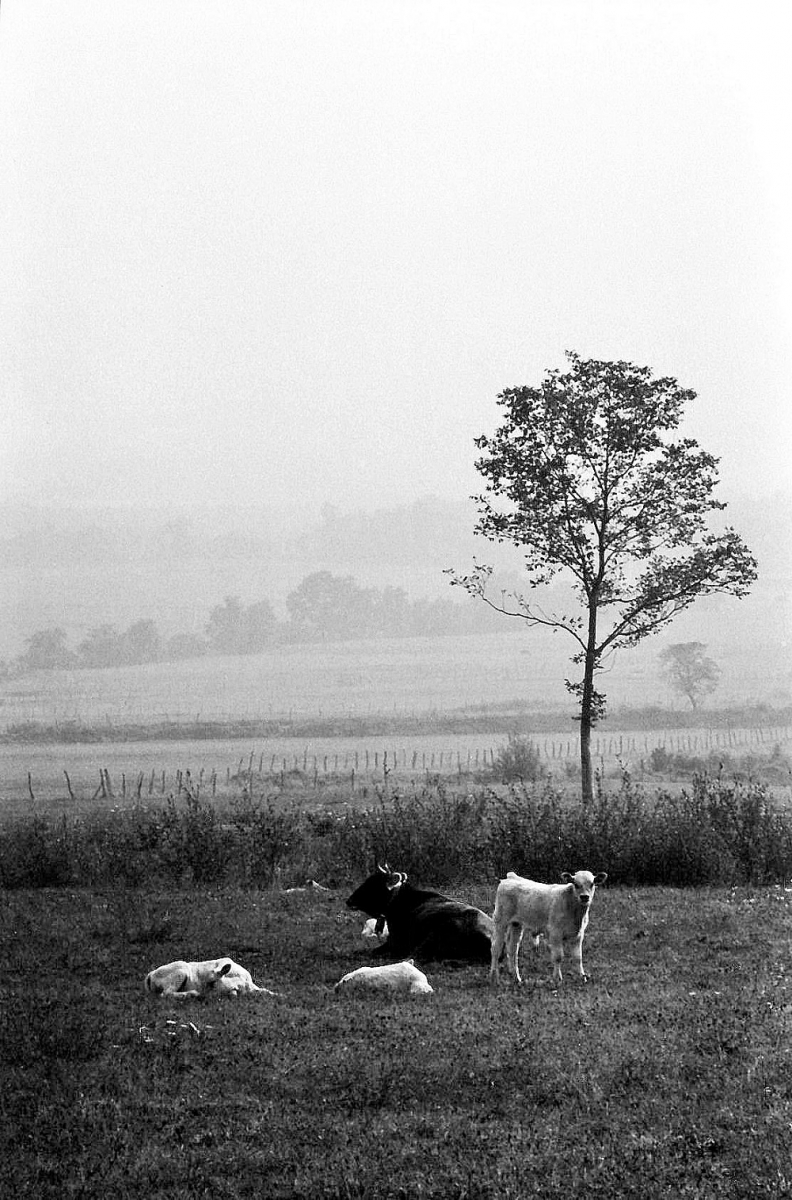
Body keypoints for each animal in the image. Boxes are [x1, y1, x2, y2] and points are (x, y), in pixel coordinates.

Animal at [142, 960, 278, 998]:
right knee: (166, 994)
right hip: (179, 971)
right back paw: (191, 994)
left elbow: (265, 990)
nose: (205, 994)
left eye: (212, 983)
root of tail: (151, 974)